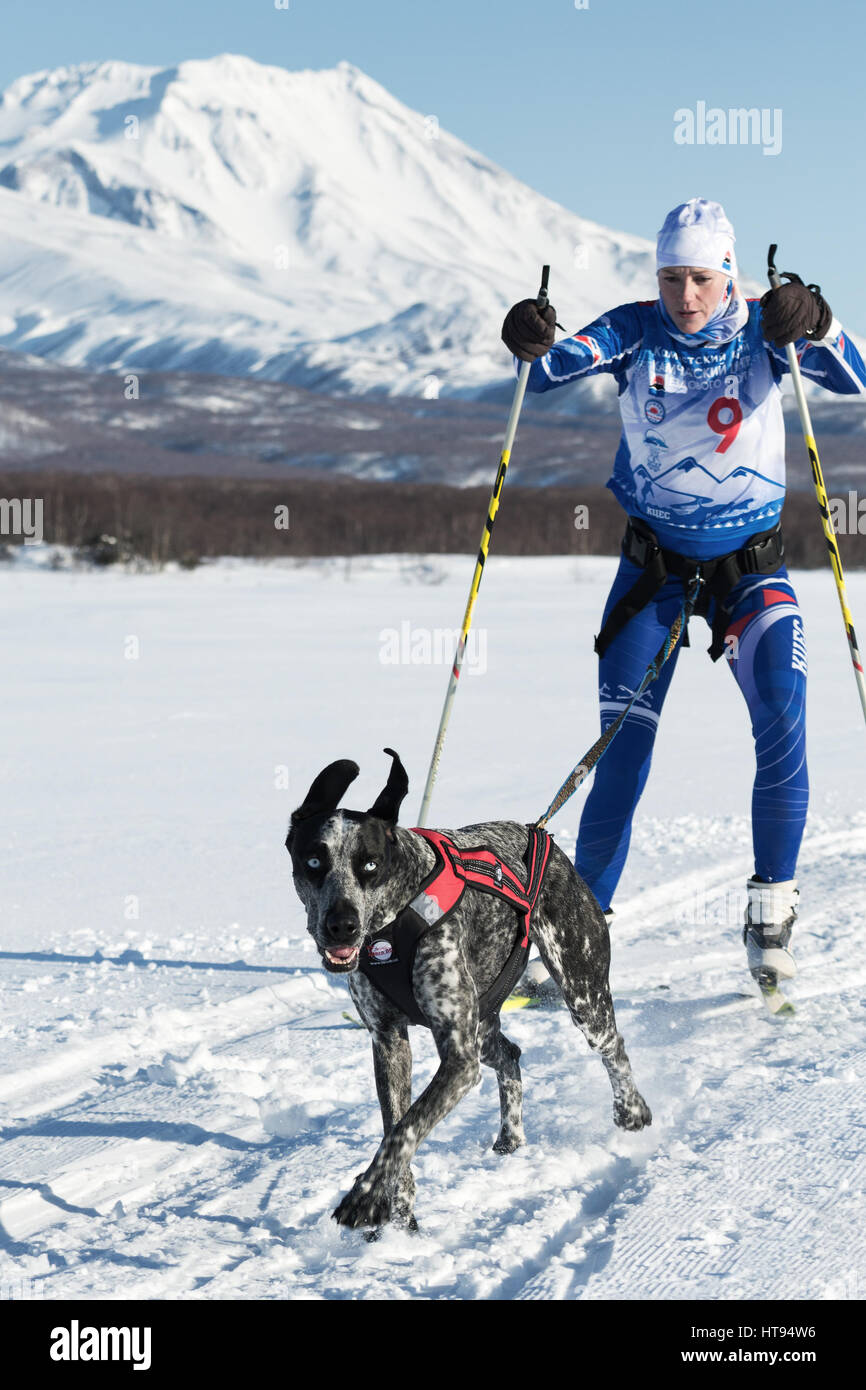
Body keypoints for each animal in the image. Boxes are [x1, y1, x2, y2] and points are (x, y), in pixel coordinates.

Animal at [284, 750, 650, 1228]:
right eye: (313, 861)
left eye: (370, 864)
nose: (341, 925)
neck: (392, 921)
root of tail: (539, 835)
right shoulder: (389, 1041)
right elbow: (394, 1124)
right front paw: (399, 1212)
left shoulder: (458, 1061)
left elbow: (404, 1130)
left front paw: (365, 1194)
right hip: (482, 1026)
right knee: (510, 1055)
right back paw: (510, 1136)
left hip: (581, 994)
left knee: (613, 1047)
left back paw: (631, 1111)